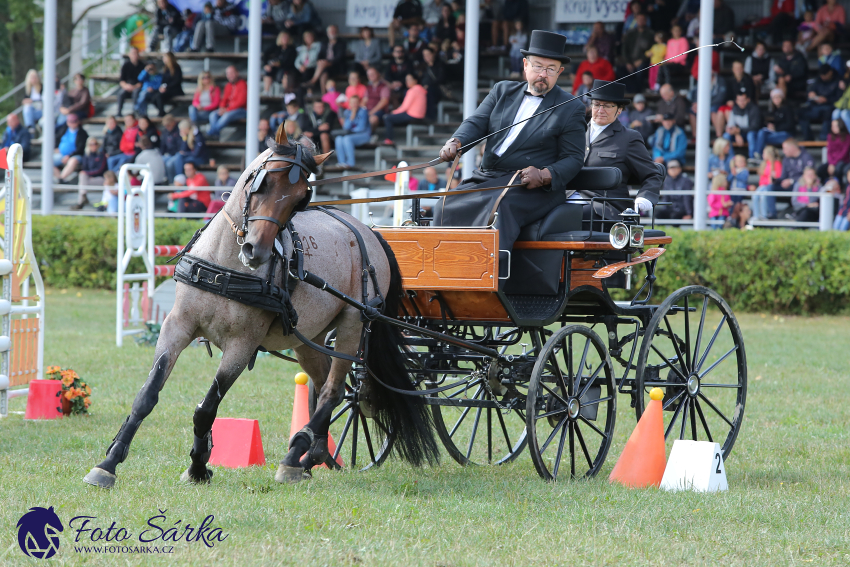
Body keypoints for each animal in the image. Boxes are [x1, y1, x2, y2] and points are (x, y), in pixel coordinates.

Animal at [84, 131, 438, 490]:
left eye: (300, 199)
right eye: (263, 184)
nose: (257, 251)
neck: (226, 266)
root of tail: (370, 233)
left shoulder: (242, 345)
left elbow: (206, 408)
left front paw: (198, 465)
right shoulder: (177, 325)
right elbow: (147, 395)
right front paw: (108, 463)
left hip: (354, 325)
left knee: (333, 391)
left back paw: (294, 456)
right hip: (309, 339)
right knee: (328, 386)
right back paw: (310, 457)